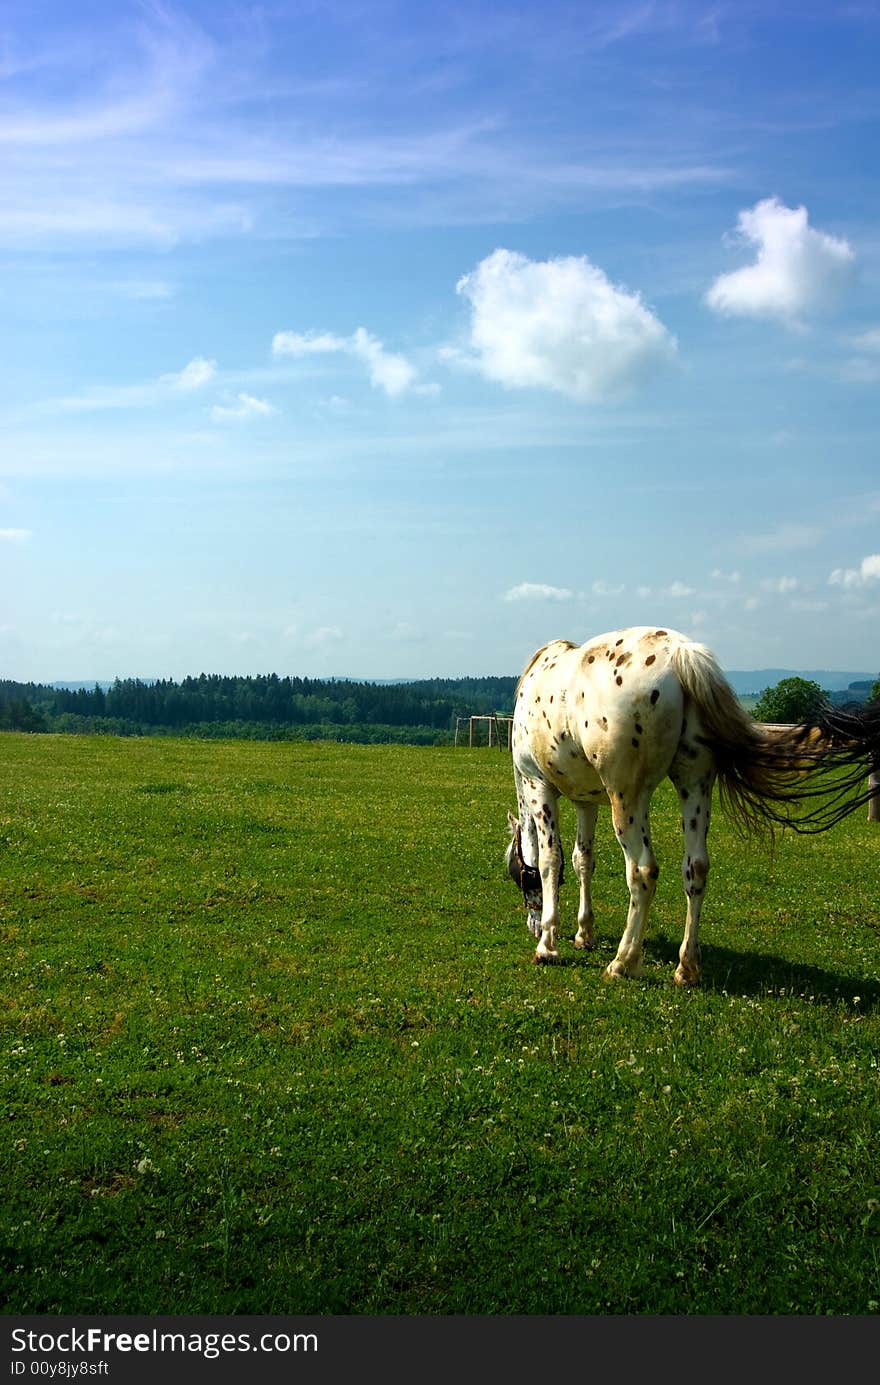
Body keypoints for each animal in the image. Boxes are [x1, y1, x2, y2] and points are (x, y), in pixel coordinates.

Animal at [507, 628, 875, 986]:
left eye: (516, 874)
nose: (532, 925)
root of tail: (680, 653)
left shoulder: (538, 787)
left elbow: (550, 861)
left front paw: (548, 944)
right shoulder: (586, 802)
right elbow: (583, 861)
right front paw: (584, 933)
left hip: (628, 797)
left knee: (642, 871)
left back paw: (623, 963)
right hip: (694, 785)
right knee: (696, 867)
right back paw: (687, 968)